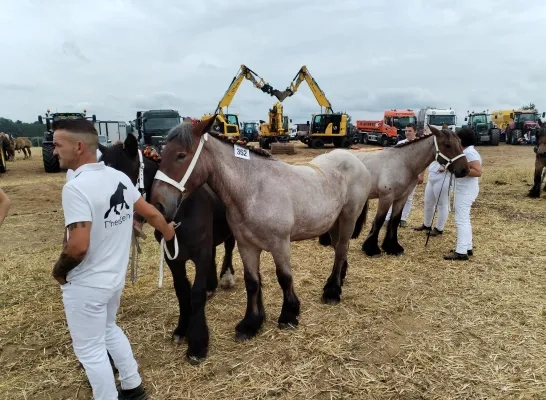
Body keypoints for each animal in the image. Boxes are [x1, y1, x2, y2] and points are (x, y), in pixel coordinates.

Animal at [98, 133, 234, 364]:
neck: (181, 211)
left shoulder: (200, 253)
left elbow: (195, 292)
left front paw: (197, 344)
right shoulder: (173, 258)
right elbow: (182, 291)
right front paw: (182, 330)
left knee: (230, 249)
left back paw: (226, 277)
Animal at [149, 115, 370, 350]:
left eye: (181, 155)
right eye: (161, 154)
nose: (158, 206)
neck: (254, 189)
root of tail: (355, 160)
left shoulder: (280, 244)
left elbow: (284, 278)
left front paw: (289, 315)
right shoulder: (246, 245)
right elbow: (252, 282)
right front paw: (250, 324)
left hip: (348, 218)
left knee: (341, 250)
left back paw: (332, 292)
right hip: (335, 222)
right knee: (339, 250)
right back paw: (335, 282)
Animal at [318, 125, 468, 256]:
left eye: (460, 142)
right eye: (447, 145)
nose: (464, 170)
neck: (404, 163)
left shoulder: (401, 198)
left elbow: (395, 220)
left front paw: (392, 247)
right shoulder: (386, 197)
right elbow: (379, 221)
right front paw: (372, 249)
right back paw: (325, 240)